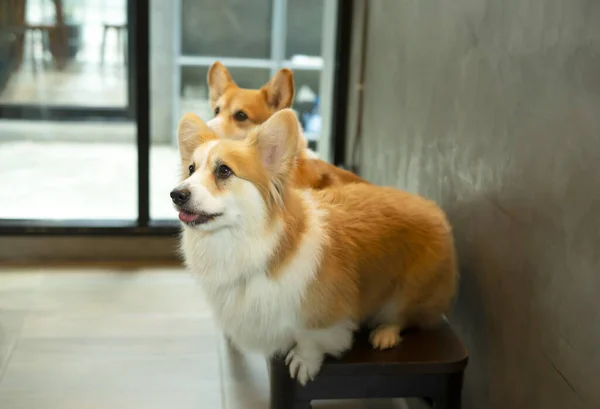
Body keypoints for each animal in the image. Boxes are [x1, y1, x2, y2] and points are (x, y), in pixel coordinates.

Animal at [171, 108, 458, 382]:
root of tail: (434, 211)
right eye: (191, 169)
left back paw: (385, 333)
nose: (176, 194)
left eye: (224, 170)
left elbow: (311, 339)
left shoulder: (325, 315)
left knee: (404, 316)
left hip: (409, 290)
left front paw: (303, 361)